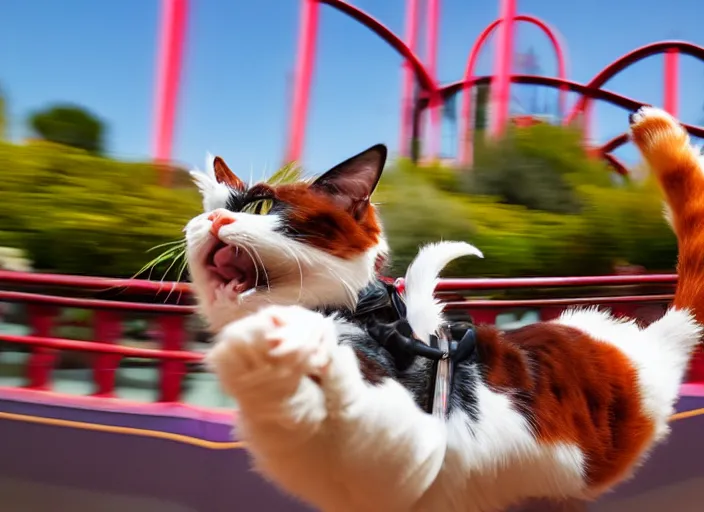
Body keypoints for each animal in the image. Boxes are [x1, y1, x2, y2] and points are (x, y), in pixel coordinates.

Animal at [186, 106, 704, 510]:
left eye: (261, 205)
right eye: (201, 211)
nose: (210, 220)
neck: (363, 319)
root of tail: (656, 339)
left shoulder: (413, 452)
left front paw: (275, 350)